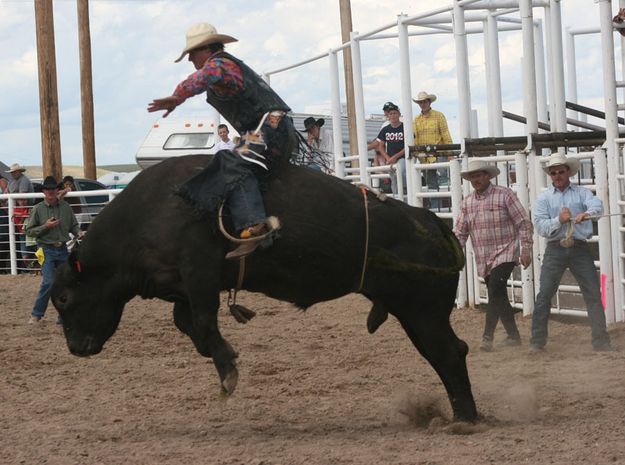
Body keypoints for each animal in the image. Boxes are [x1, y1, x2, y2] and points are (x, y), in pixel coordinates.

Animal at [51, 155, 478, 420]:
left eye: (64, 298)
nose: (75, 348)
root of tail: (430, 219)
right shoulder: (181, 286)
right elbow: (188, 324)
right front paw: (224, 356)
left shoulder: (199, 271)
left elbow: (203, 321)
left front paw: (228, 372)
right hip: (410, 310)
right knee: (443, 353)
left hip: (423, 309)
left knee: (449, 352)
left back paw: (466, 418)